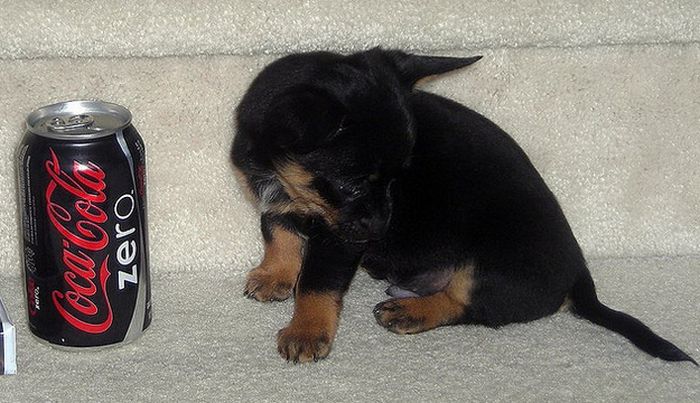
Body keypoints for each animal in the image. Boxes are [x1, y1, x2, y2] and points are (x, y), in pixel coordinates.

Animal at [231, 48, 696, 366]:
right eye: (353, 183)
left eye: (400, 177)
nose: (380, 230)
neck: (282, 176)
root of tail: (579, 275)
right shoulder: (278, 203)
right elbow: (278, 234)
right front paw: (276, 275)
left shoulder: (339, 238)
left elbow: (318, 282)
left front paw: (307, 330)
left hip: (487, 267)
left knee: (471, 305)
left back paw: (413, 311)